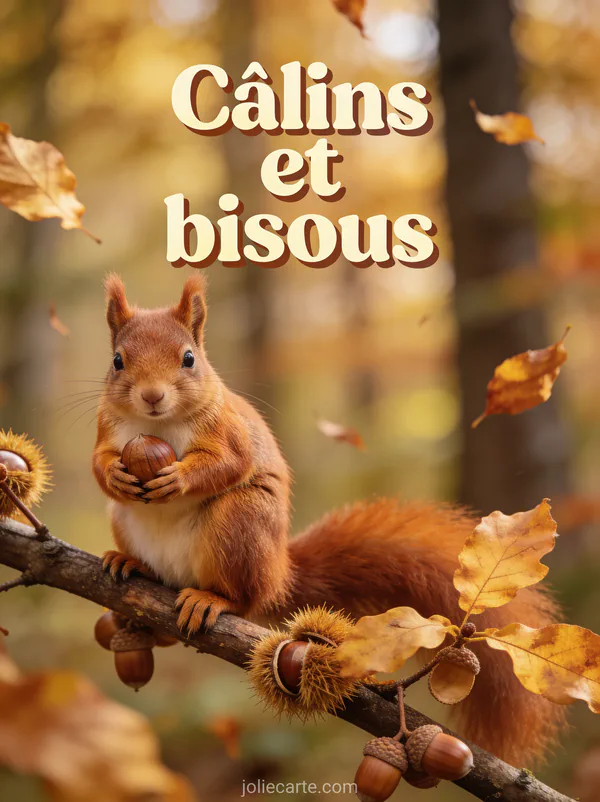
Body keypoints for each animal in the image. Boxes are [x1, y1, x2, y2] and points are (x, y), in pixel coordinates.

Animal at [93, 274, 566, 767]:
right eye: (117, 361)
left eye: (188, 358)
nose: (152, 396)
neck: (157, 426)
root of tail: (278, 573)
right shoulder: (107, 428)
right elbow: (98, 463)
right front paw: (116, 474)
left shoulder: (227, 429)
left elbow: (228, 463)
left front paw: (180, 477)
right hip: (126, 522)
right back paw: (132, 565)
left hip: (240, 522)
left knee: (244, 597)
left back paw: (211, 599)